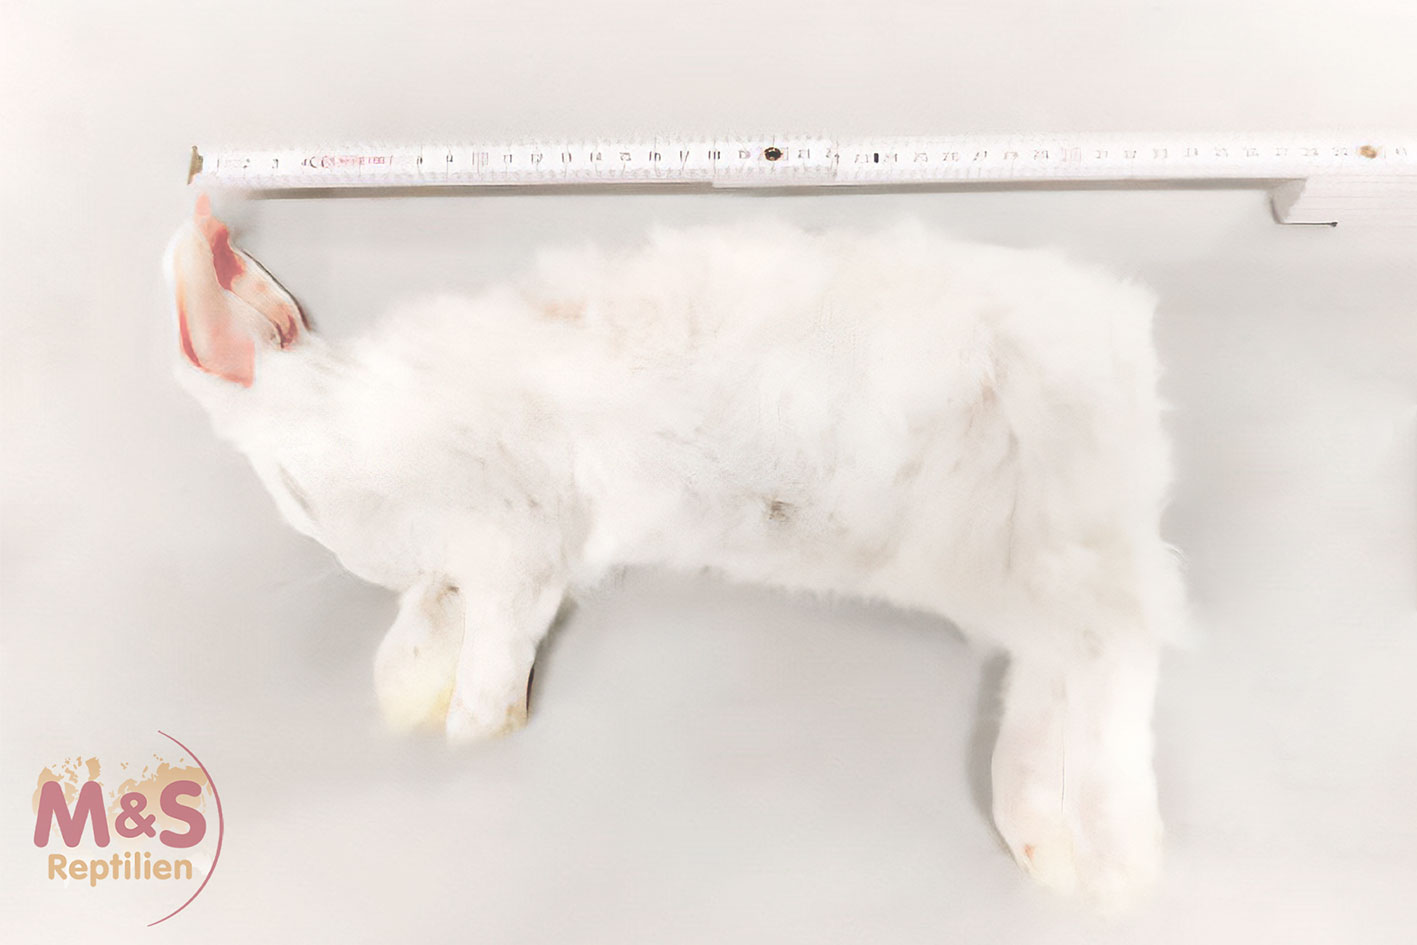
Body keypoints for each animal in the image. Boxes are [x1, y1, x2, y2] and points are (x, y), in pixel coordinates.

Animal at [164, 195, 1185, 912]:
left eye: (295, 490)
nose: (352, 563)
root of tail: (1124, 340)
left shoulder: (513, 532)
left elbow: (488, 635)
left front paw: (471, 724)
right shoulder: (517, 547)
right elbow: (442, 612)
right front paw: (404, 688)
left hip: (1041, 535)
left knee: (1115, 653)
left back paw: (1117, 861)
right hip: (1005, 557)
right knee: (1069, 659)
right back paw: (1045, 840)